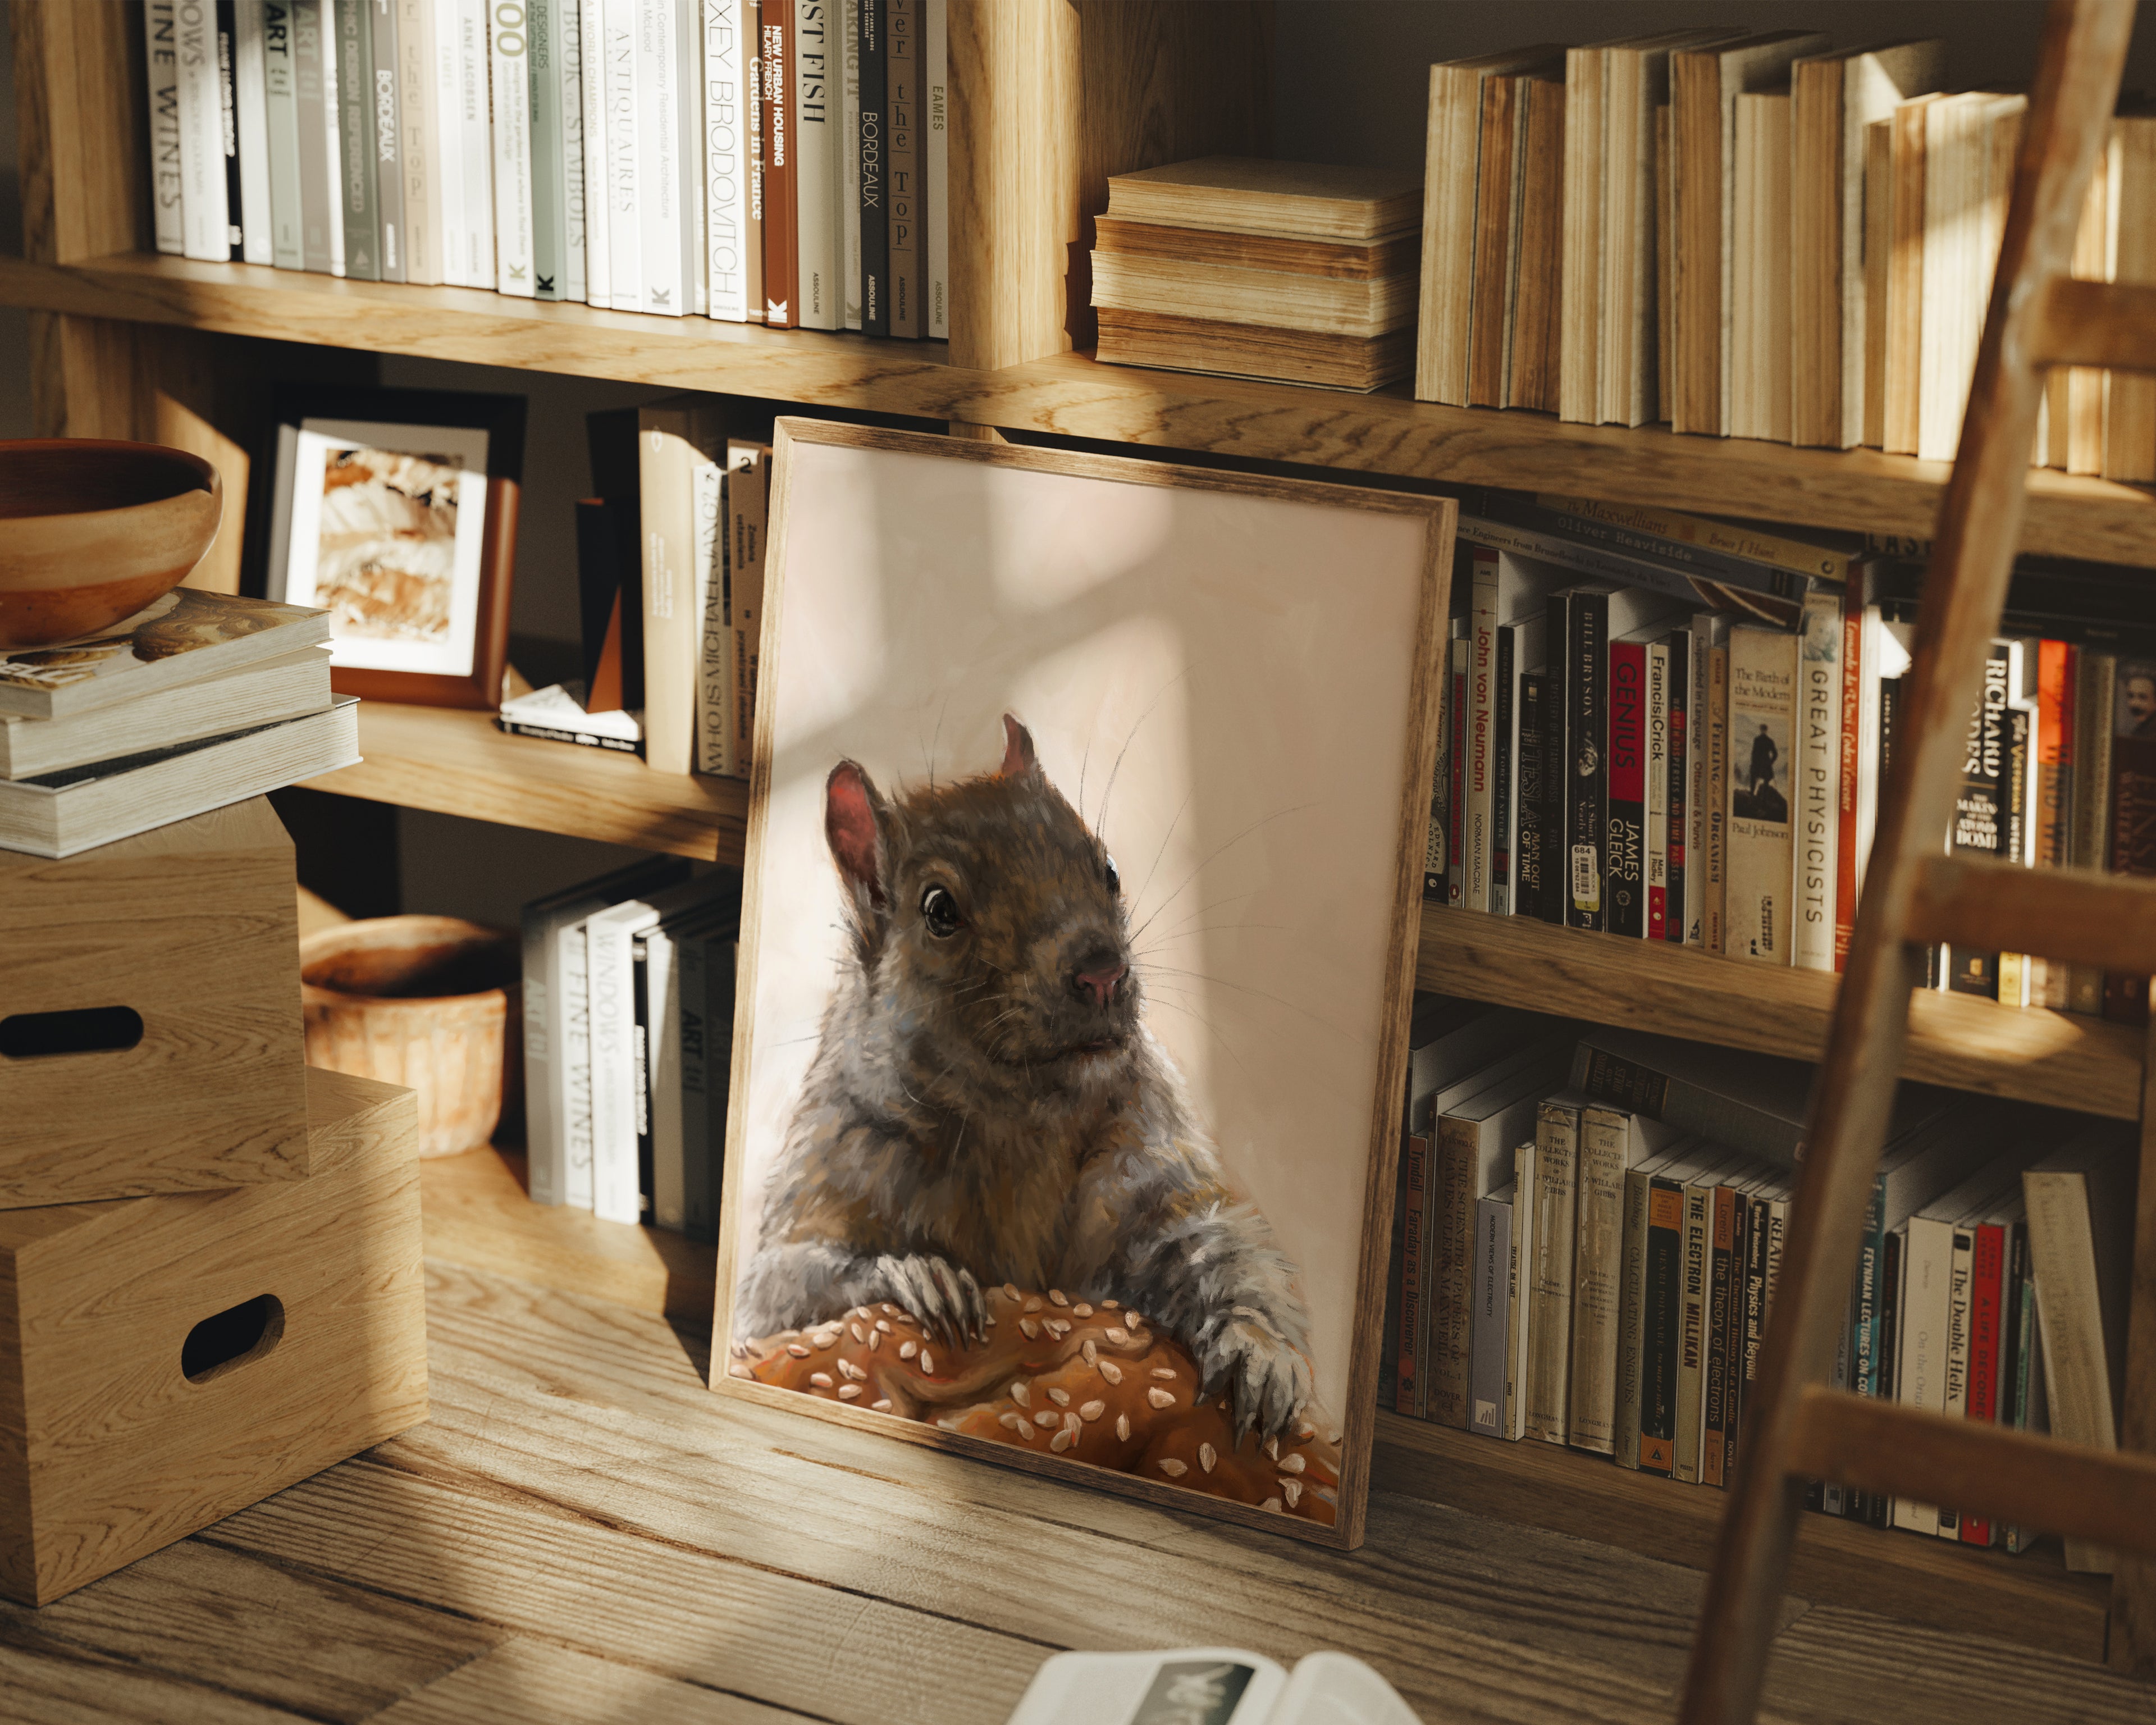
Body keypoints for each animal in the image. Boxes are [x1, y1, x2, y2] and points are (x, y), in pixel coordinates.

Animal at [733, 714, 1315, 1442]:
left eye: (1109, 869)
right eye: (939, 910)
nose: (1102, 972)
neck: (1022, 1123)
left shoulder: (1149, 1163)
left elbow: (1223, 1244)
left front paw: (1260, 1353)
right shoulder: (830, 1170)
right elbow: (775, 1289)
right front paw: (918, 1276)